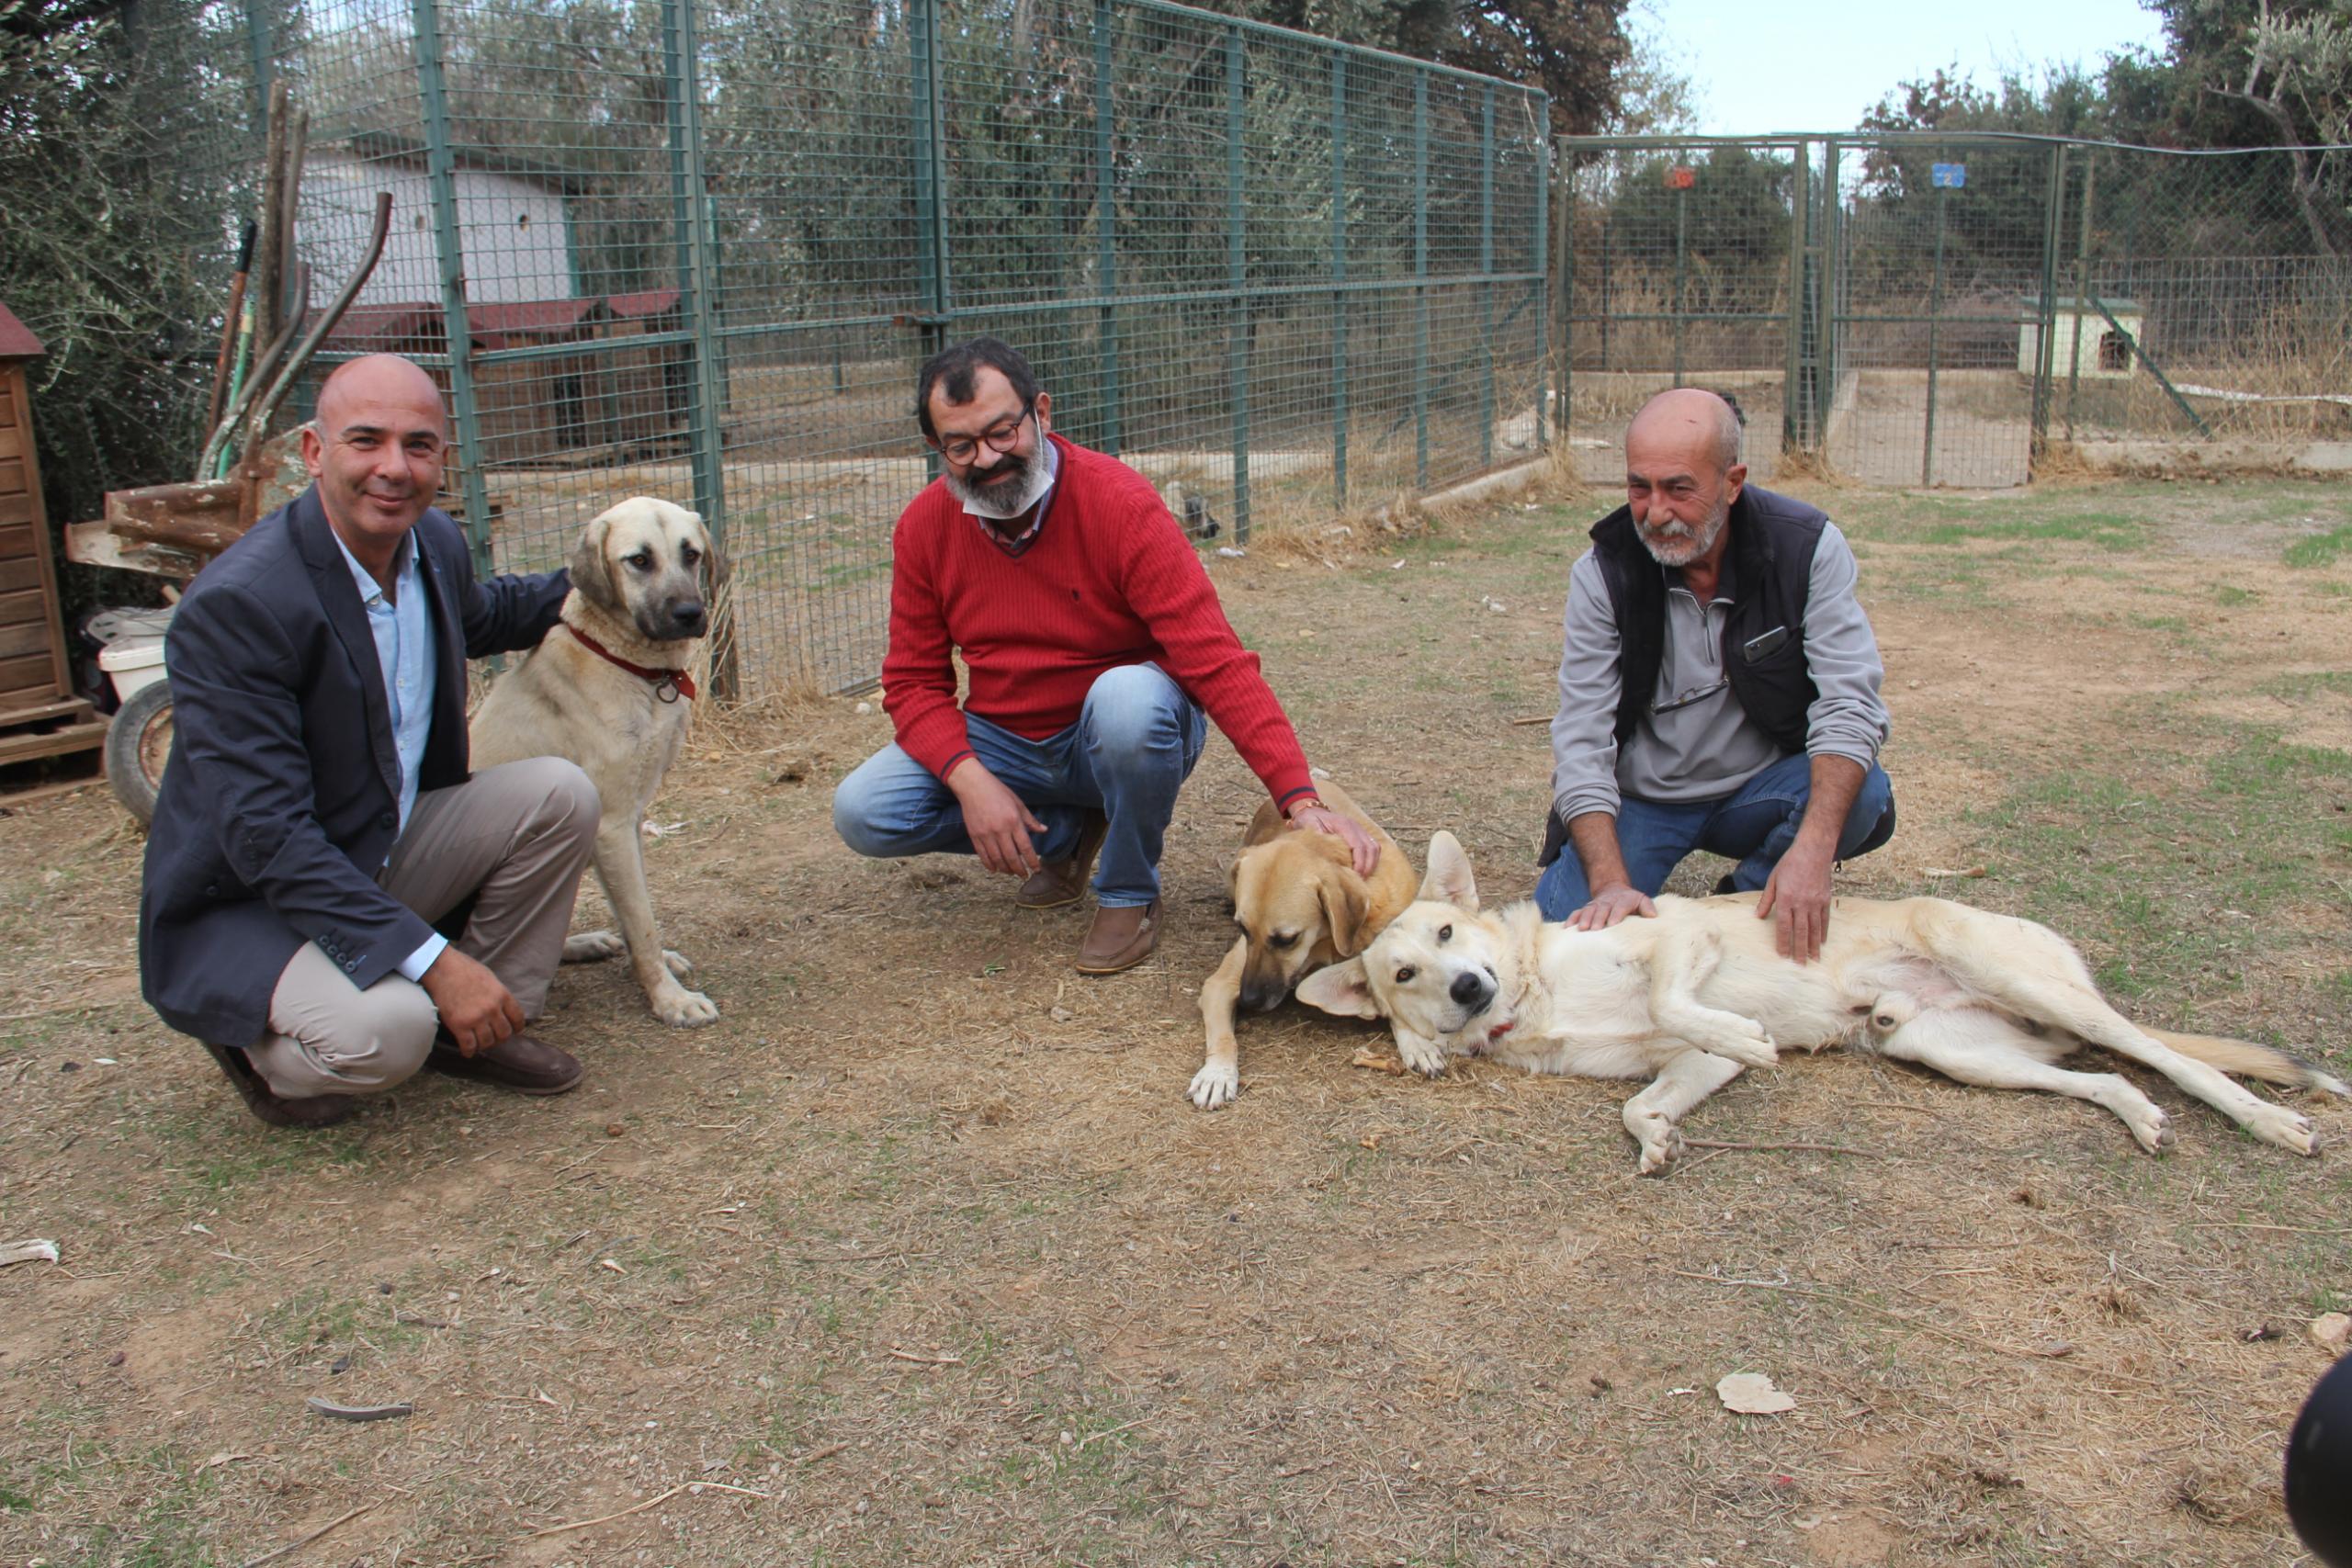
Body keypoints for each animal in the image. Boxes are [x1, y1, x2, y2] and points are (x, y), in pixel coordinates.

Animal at [1194, 780, 1411, 1109]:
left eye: (1287, 939)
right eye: (1243, 929)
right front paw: (1217, 1073)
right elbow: (1222, 1035)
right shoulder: (1220, 984)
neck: (1325, 942)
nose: (1248, 1000)